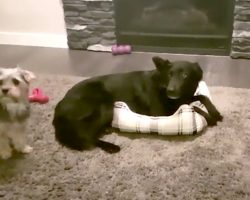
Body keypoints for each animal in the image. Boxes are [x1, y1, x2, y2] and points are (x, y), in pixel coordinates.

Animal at [51, 56, 222, 153]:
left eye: (185, 75)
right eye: (170, 74)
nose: (171, 91)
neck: (162, 84)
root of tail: (58, 109)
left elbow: (201, 96)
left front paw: (215, 113)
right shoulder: (161, 112)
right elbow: (193, 106)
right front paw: (210, 118)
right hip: (106, 106)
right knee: (85, 136)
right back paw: (110, 146)